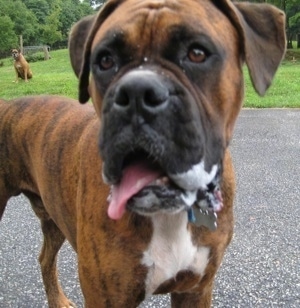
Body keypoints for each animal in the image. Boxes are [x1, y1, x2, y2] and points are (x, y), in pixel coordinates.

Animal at [0, 0, 286, 306]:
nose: (137, 92)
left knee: (45, 258)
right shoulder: (105, 296)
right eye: (105, 60)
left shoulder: (196, 290)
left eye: (197, 53)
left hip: (53, 217)